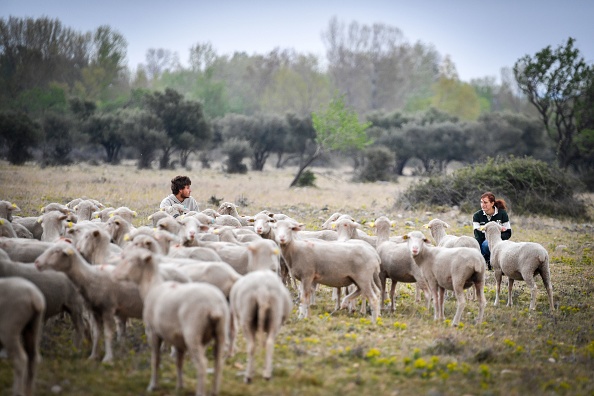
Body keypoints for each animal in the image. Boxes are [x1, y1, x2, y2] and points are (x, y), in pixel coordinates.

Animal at [110, 246, 230, 394]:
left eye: (130, 260)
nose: (114, 274)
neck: (152, 287)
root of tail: (214, 307)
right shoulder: (178, 339)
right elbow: (179, 362)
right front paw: (180, 386)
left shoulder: (152, 332)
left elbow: (155, 359)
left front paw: (153, 385)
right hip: (220, 333)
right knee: (218, 363)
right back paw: (214, 391)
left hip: (193, 334)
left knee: (202, 364)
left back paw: (200, 392)